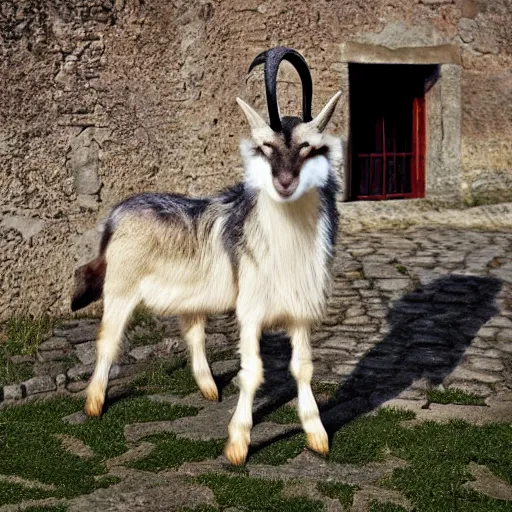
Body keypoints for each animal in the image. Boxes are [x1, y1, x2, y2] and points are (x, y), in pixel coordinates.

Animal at [72, 47, 342, 464]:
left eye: (309, 147)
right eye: (265, 147)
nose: (284, 183)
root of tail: (116, 214)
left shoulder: (300, 312)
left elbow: (303, 368)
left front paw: (317, 436)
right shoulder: (251, 312)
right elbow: (253, 371)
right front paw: (238, 445)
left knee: (192, 331)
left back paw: (209, 388)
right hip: (120, 288)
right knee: (108, 340)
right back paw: (94, 404)